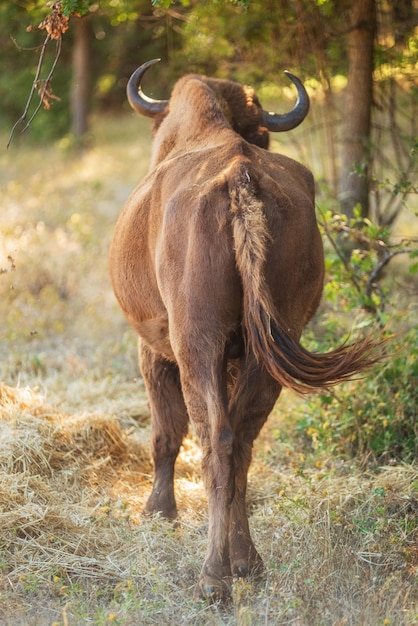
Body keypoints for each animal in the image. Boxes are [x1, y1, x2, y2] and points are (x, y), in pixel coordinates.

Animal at [109, 59, 380, 600]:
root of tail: (238, 175)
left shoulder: (155, 350)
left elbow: (166, 433)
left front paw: (157, 512)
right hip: (268, 348)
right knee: (244, 440)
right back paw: (248, 564)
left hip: (197, 344)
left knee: (216, 440)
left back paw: (213, 579)